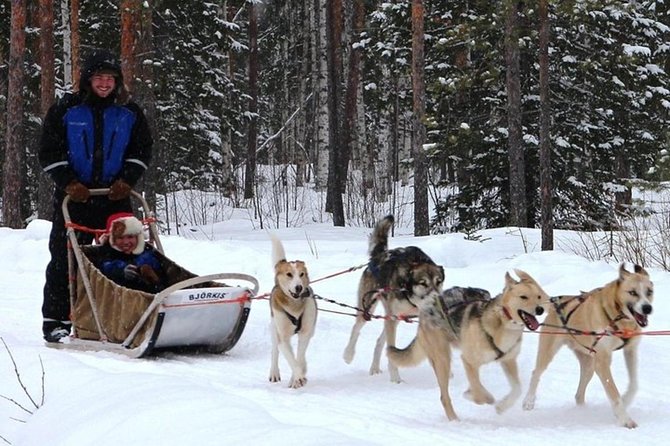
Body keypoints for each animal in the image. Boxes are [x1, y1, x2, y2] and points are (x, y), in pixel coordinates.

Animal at [268, 235, 318, 388]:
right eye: (289, 274)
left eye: (302, 274)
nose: (299, 287)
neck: (294, 306)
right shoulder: (283, 338)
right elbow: (291, 359)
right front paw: (299, 377)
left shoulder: (305, 333)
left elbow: (299, 358)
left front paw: (296, 377)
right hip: (274, 328)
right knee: (275, 351)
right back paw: (274, 373)